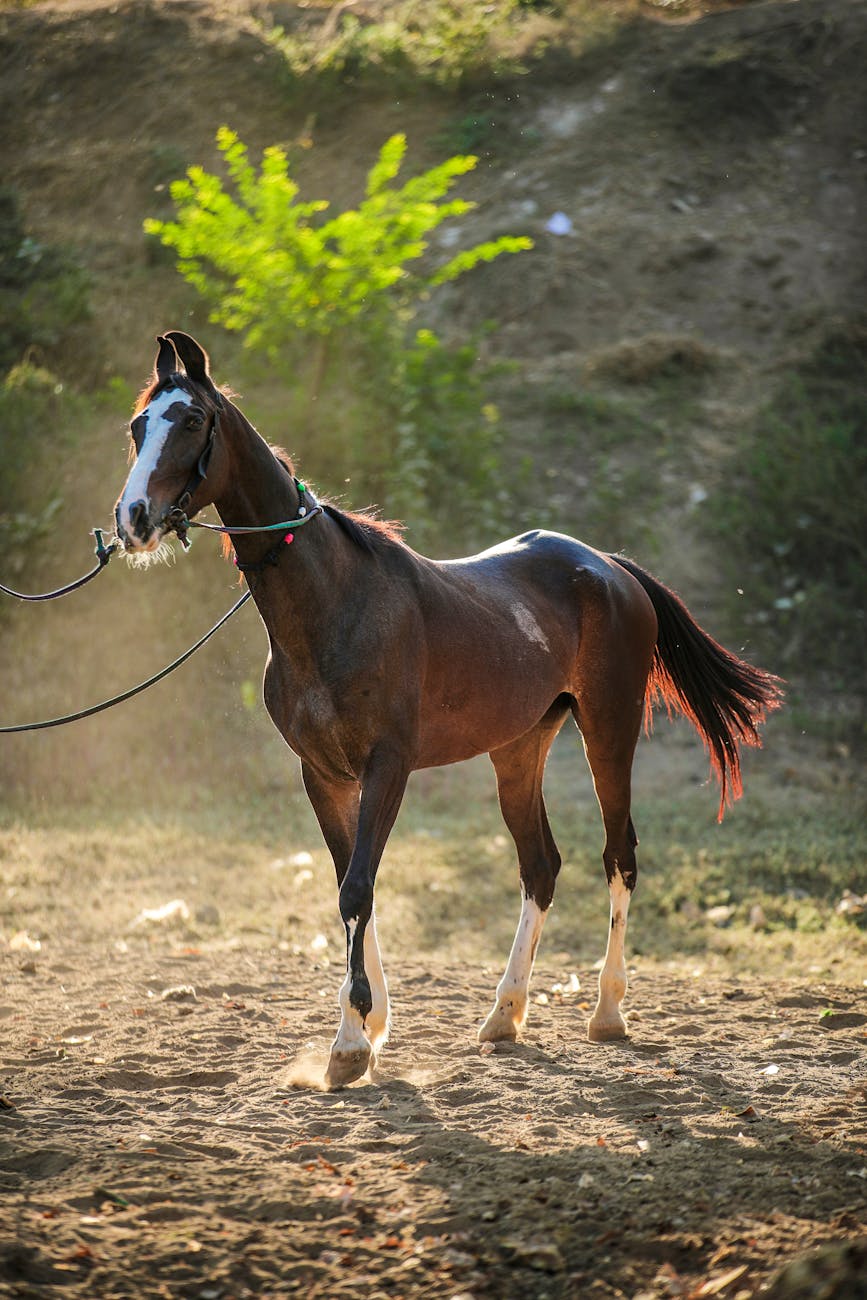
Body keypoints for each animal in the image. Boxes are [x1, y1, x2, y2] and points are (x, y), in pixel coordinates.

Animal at [115, 331, 783, 1089]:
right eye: (138, 426)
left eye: (192, 420)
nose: (133, 520)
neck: (334, 604)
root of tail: (611, 567)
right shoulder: (323, 775)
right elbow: (353, 889)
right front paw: (370, 1025)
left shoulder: (388, 767)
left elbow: (356, 890)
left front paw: (349, 1046)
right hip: (518, 750)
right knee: (540, 867)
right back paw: (504, 1016)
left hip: (608, 733)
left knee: (620, 857)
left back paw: (607, 1012)